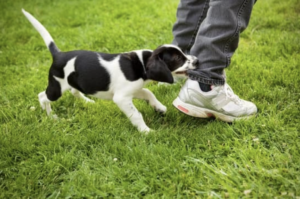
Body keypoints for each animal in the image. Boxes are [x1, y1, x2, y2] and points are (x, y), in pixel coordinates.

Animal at [22, 9, 198, 134]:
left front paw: (159, 107)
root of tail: (59, 55)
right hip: (56, 88)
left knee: (74, 90)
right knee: (42, 96)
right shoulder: (121, 97)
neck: (141, 63)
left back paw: (87, 101)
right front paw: (146, 131)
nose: (197, 60)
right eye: (177, 58)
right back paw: (51, 116)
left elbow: (148, 92)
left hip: (73, 81)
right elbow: (136, 114)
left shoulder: (132, 90)